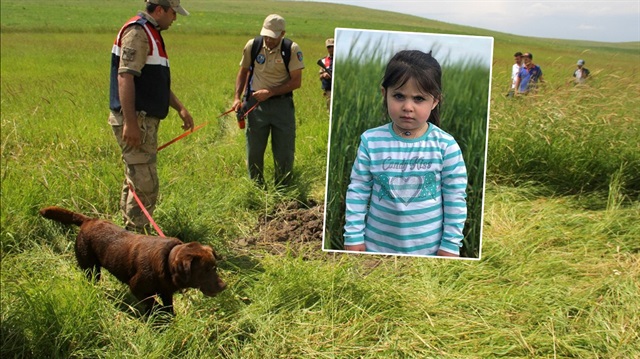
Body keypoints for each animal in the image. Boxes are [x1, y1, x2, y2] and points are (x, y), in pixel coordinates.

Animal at [39, 207, 225, 316]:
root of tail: (89, 220)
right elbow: (154, 304)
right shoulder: (137, 288)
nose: (225, 286)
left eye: (215, 267)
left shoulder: (166, 292)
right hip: (91, 268)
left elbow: (167, 307)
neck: (167, 262)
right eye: (206, 270)